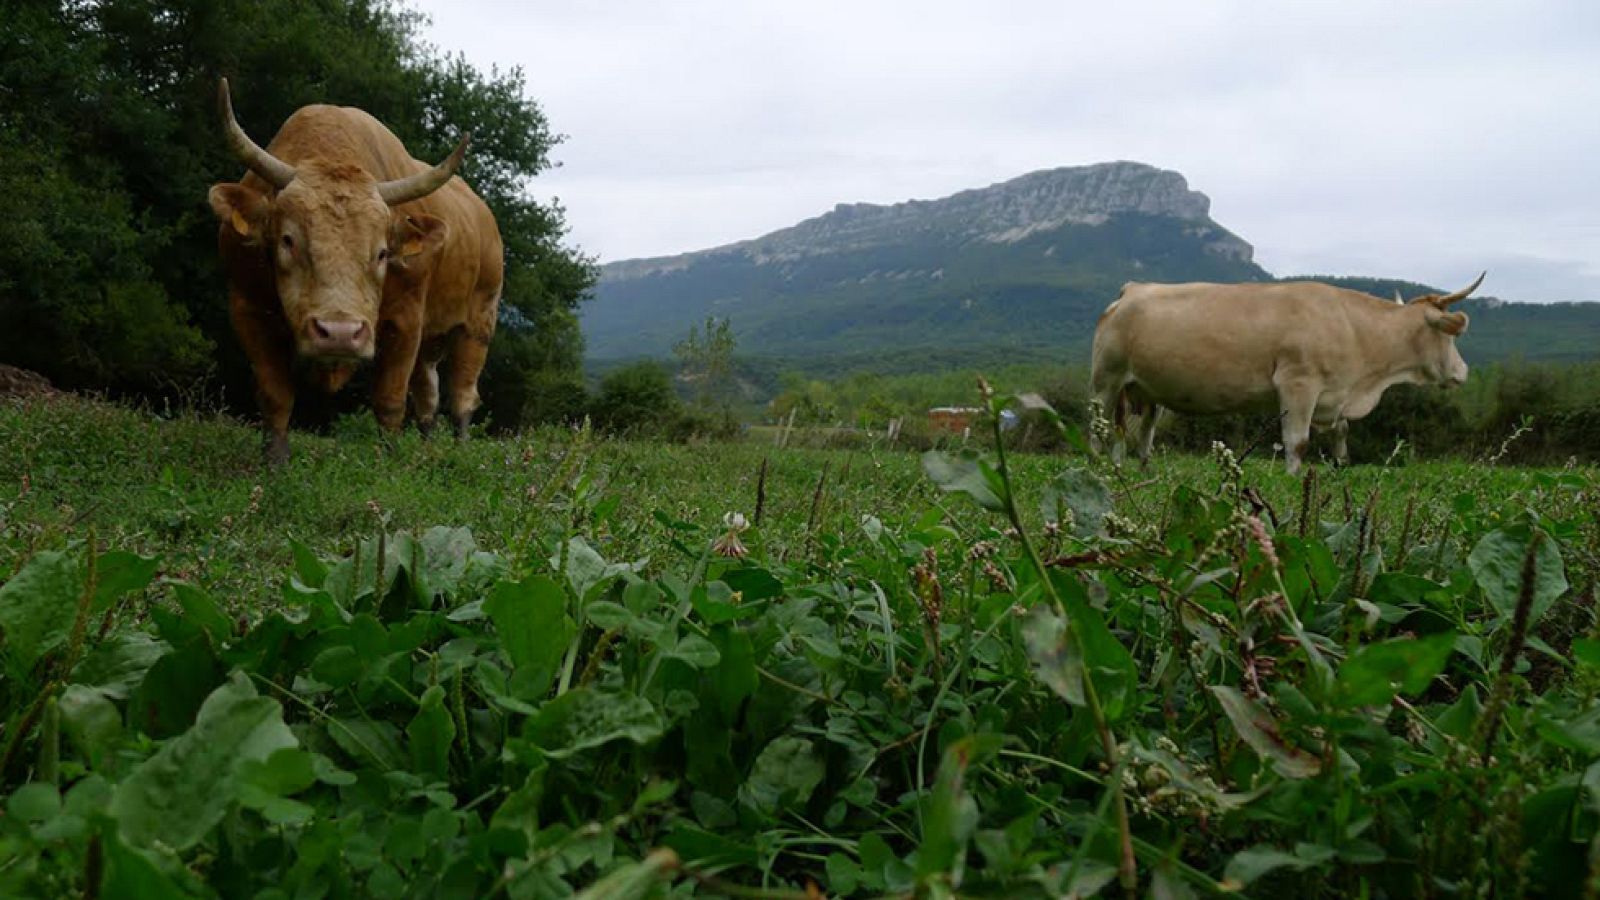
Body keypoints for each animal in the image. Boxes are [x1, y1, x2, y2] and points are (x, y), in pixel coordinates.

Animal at [207, 78, 504, 464]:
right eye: (288, 240)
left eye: (382, 253)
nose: (340, 333)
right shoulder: (246, 308)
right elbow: (274, 393)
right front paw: (275, 462)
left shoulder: (406, 321)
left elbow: (390, 400)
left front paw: (389, 462)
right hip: (432, 340)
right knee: (428, 394)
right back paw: (428, 448)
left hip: (479, 321)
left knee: (462, 395)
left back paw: (462, 450)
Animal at [1089, 273, 1483, 474]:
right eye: (1451, 335)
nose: (1464, 370)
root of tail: (1131, 290)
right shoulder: (1298, 385)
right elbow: (1298, 442)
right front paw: (1294, 480)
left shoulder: (1333, 396)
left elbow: (1341, 434)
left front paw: (1340, 467)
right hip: (1106, 380)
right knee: (1098, 427)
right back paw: (1096, 468)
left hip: (1147, 391)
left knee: (1141, 434)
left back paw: (1140, 472)